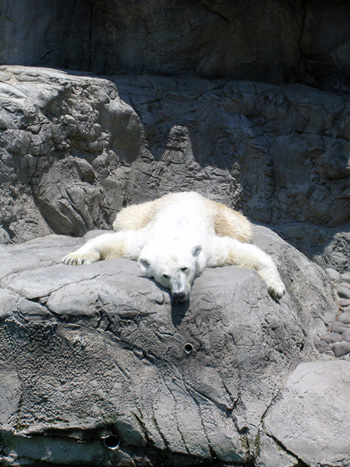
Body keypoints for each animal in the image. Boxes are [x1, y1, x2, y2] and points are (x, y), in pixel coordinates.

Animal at [62, 192, 284, 302]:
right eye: (165, 276)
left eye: (184, 269)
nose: (179, 294)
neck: (173, 236)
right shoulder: (142, 241)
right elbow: (117, 241)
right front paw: (75, 257)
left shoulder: (208, 247)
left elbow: (239, 250)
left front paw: (276, 288)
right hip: (150, 209)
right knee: (124, 219)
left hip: (221, 215)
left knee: (241, 228)